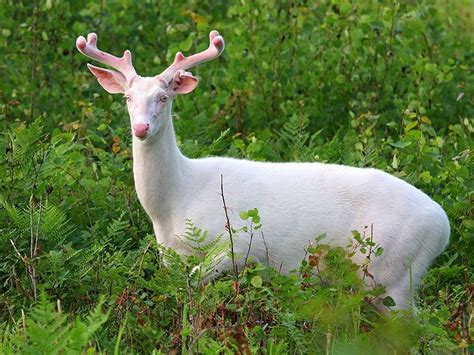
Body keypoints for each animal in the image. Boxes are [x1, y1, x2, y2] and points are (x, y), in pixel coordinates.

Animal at [76, 30, 450, 312]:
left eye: (164, 97)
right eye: (127, 97)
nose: (140, 128)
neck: (175, 202)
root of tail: (443, 227)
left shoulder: (238, 243)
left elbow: (195, 283)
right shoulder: (170, 256)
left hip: (393, 273)